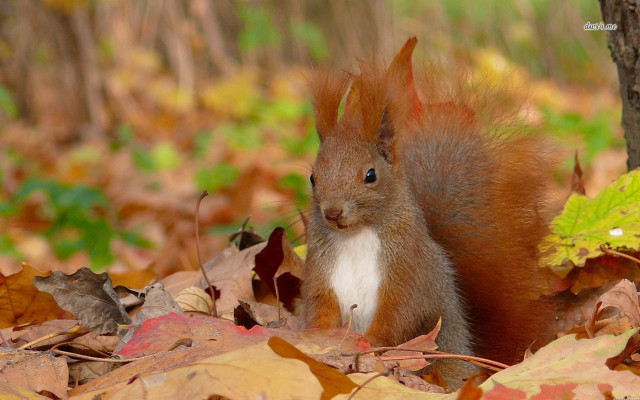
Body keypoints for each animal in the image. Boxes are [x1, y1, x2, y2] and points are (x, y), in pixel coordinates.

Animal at [301, 37, 558, 388]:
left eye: (370, 175)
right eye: (313, 177)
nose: (333, 212)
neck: (355, 235)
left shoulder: (408, 272)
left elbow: (398, 315)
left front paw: (368, 344)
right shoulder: (321, 272)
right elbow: (320, 310)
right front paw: (315, 340)